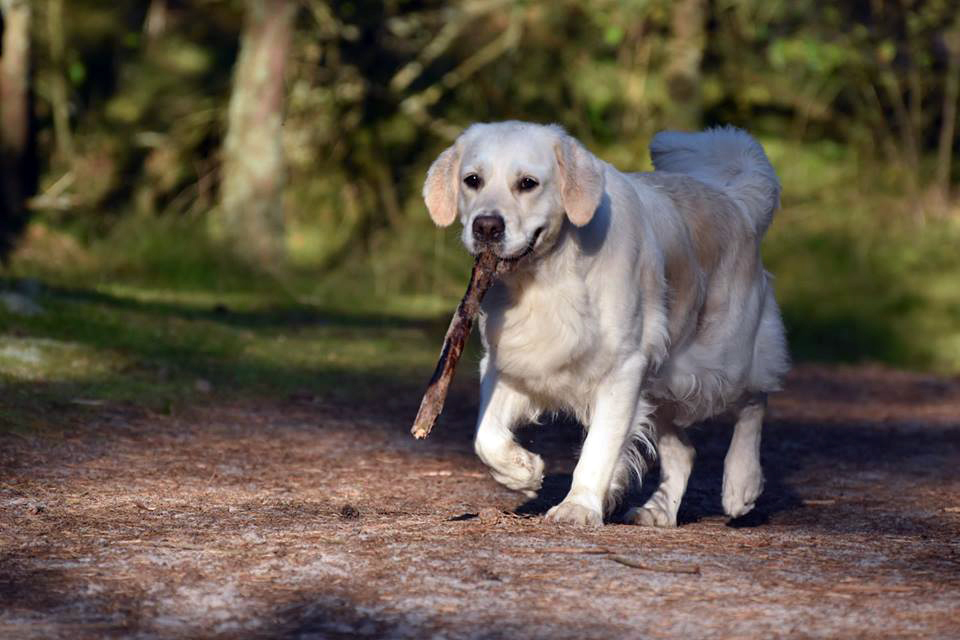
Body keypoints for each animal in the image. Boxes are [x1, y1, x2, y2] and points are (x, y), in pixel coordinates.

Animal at [423, 121, 789, 526]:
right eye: (472, 180)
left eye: (528, 183)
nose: (486, 226)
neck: (546, 275)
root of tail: (735, 201)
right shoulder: (512, 361)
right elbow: (484, 435)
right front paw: (522, 470)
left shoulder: (623, 368)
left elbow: (599, 447)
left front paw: (578, 506)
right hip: (663, 381)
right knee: (684, 451)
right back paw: (657, 511)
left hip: (717, 361)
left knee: (755, 398)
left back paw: (742, 483)